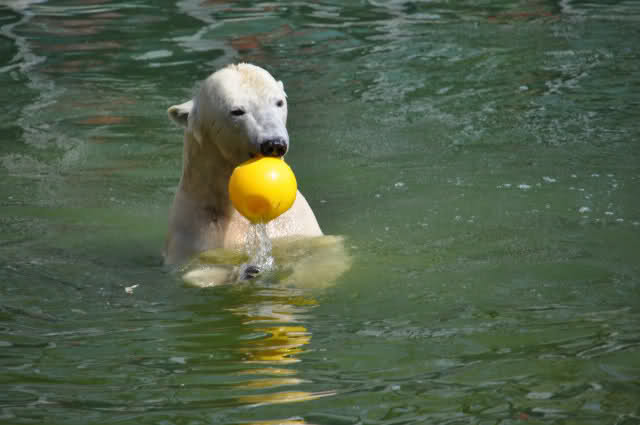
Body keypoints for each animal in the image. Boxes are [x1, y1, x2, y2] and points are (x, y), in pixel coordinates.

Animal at [164, 63, 349, 287]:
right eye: (237, 111)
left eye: (279, 102)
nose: (274, 143)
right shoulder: (194, 233)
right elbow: (195, 273)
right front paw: (248, 271)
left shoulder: (295, 224)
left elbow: (326, 253)